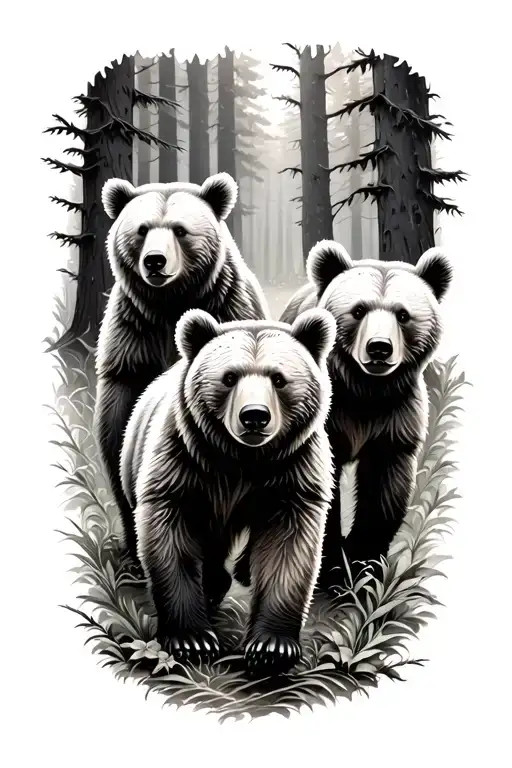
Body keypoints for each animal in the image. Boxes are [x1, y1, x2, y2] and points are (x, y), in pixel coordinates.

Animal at [94, 172, 269, 561]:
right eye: (142, 229)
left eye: (179, 229)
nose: (155, 262)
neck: (169, 304)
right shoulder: (134, 339)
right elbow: (119, 430)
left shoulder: (226, 308)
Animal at [120, 307, 336, 678]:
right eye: (229, 377)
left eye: (279, 379)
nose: (254, 417)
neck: (242, 461)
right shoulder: (183, 460)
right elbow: (170, 534)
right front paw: (192, 639)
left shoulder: (292, 472)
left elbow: (288, 548)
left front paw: (272, 647)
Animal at [278, 240, 453, 594]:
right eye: (358, 311)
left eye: (403, 314)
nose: (379, 348)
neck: (365, 390)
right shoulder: (329, 417)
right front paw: (332, 569)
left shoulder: (395, 416)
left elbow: (385, 486)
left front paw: (363, 565)